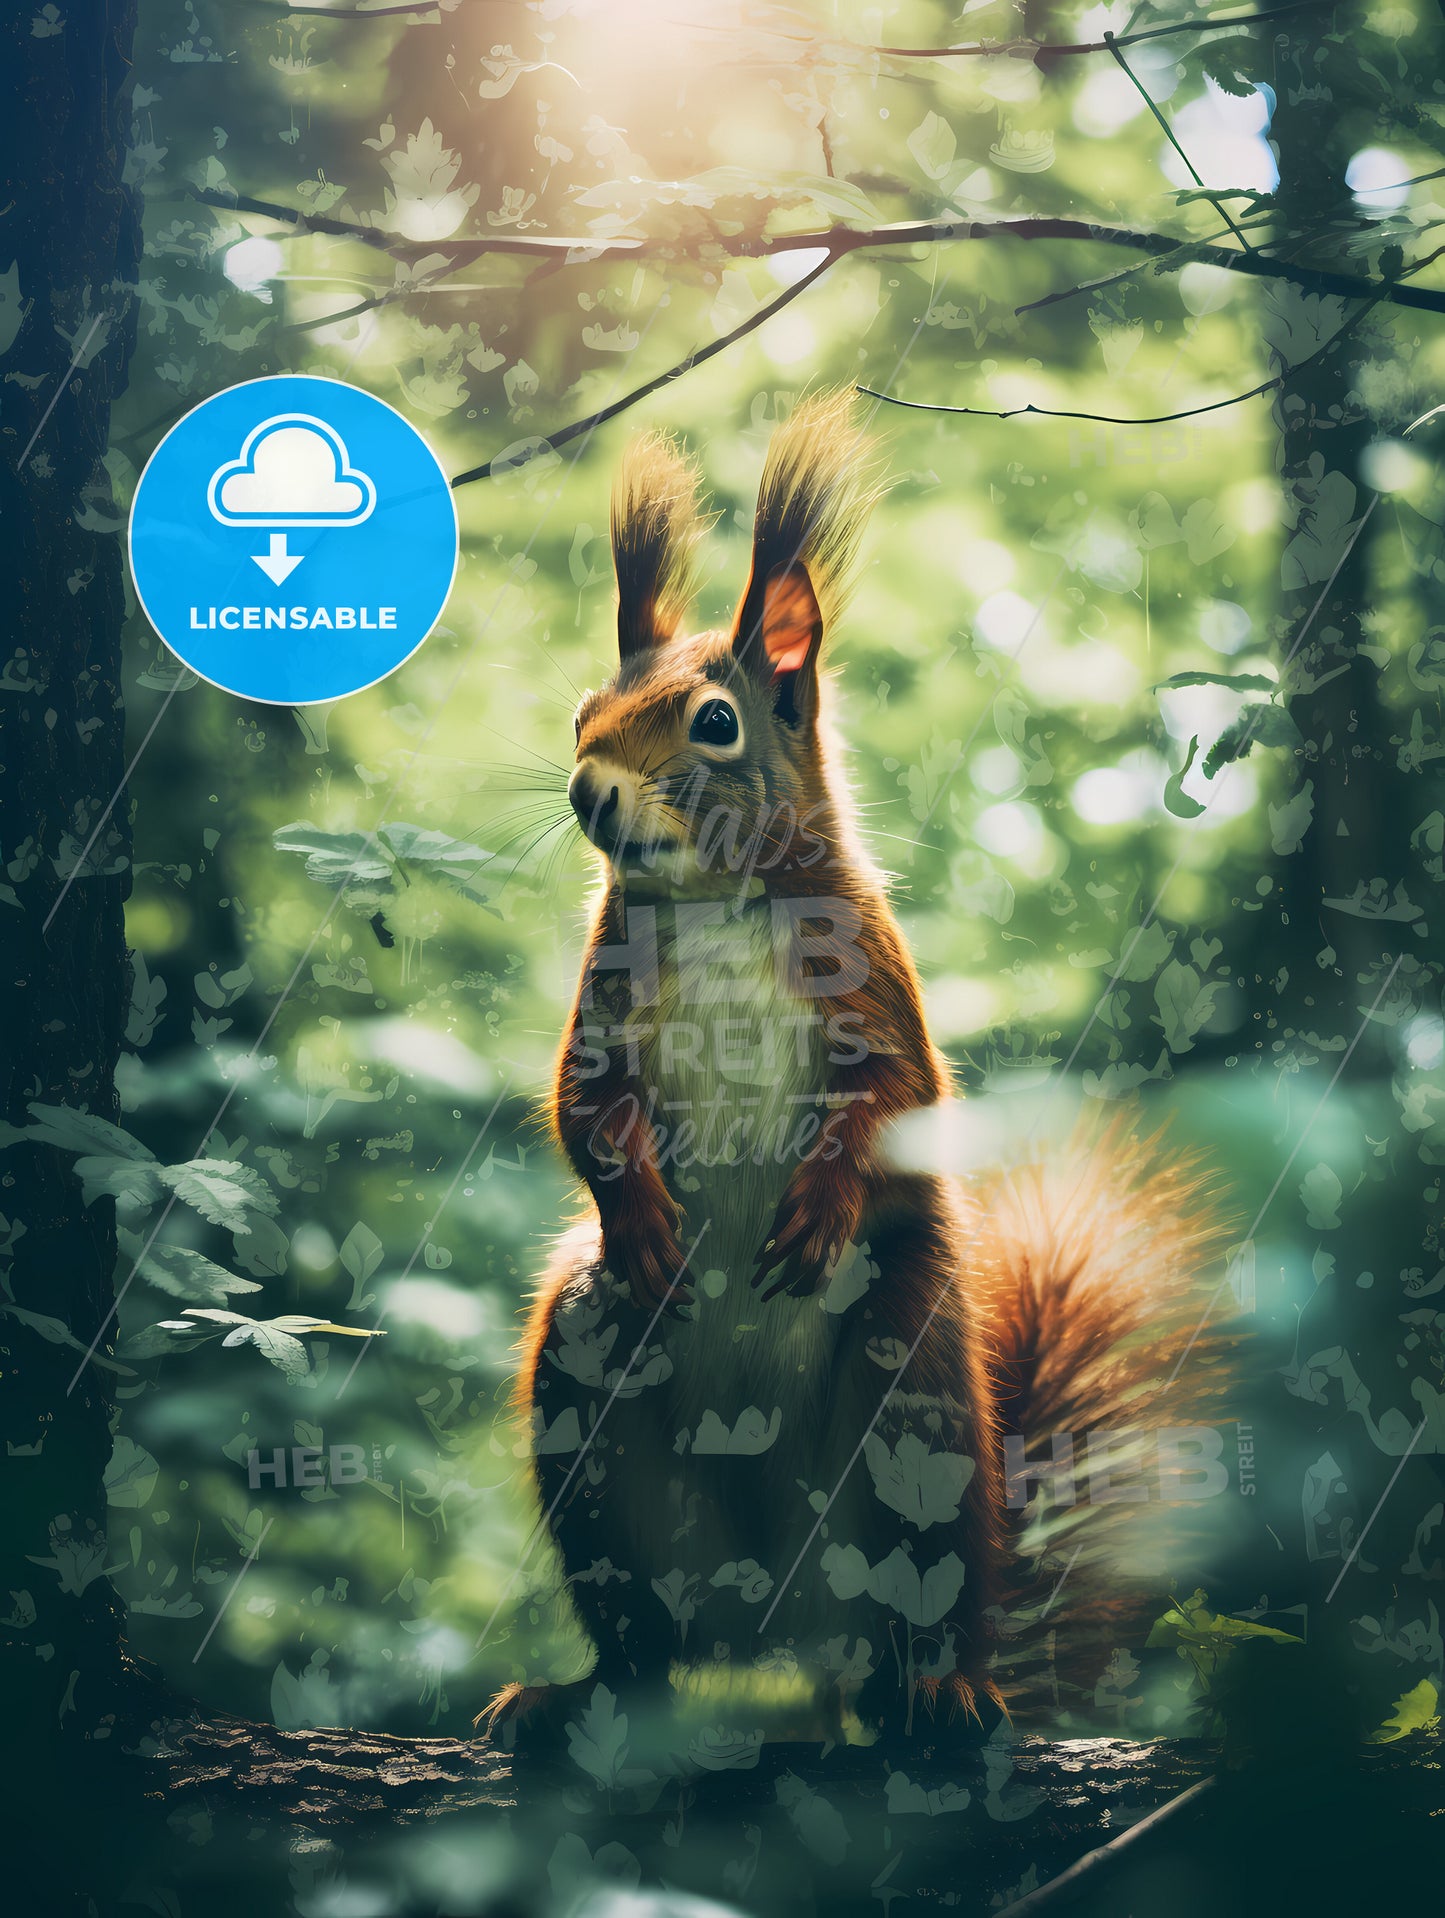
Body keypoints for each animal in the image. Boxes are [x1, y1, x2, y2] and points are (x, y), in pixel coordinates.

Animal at [479, 390, 1231, 1756]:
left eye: (714, 721)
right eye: (581, 714)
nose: (586, 790)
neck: (716, 900)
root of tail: (783, 1627)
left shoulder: (874, 987)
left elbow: (894, 1108)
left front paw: (821, 1201)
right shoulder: (603, 1003)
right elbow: (582, 1110)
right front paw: (644, 1215)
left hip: (913, 1384)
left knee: (916, 1606)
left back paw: (939, 1683)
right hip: (592, 1399)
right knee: (646, 1647)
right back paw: (578, 1695)